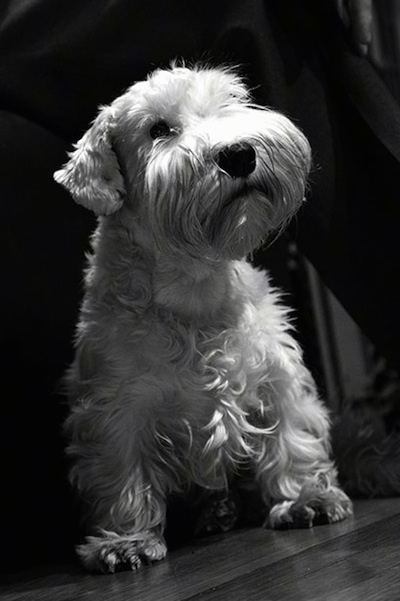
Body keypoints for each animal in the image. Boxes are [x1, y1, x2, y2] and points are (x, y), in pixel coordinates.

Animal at [54, 62, 354, 572]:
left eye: (231, 101)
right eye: (158, 129)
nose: (239, 154)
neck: (194, 289)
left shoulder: (277, 372)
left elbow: (293, 435)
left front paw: (305, 498)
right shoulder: (115, 407)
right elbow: (122, 474)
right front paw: (126, 540)